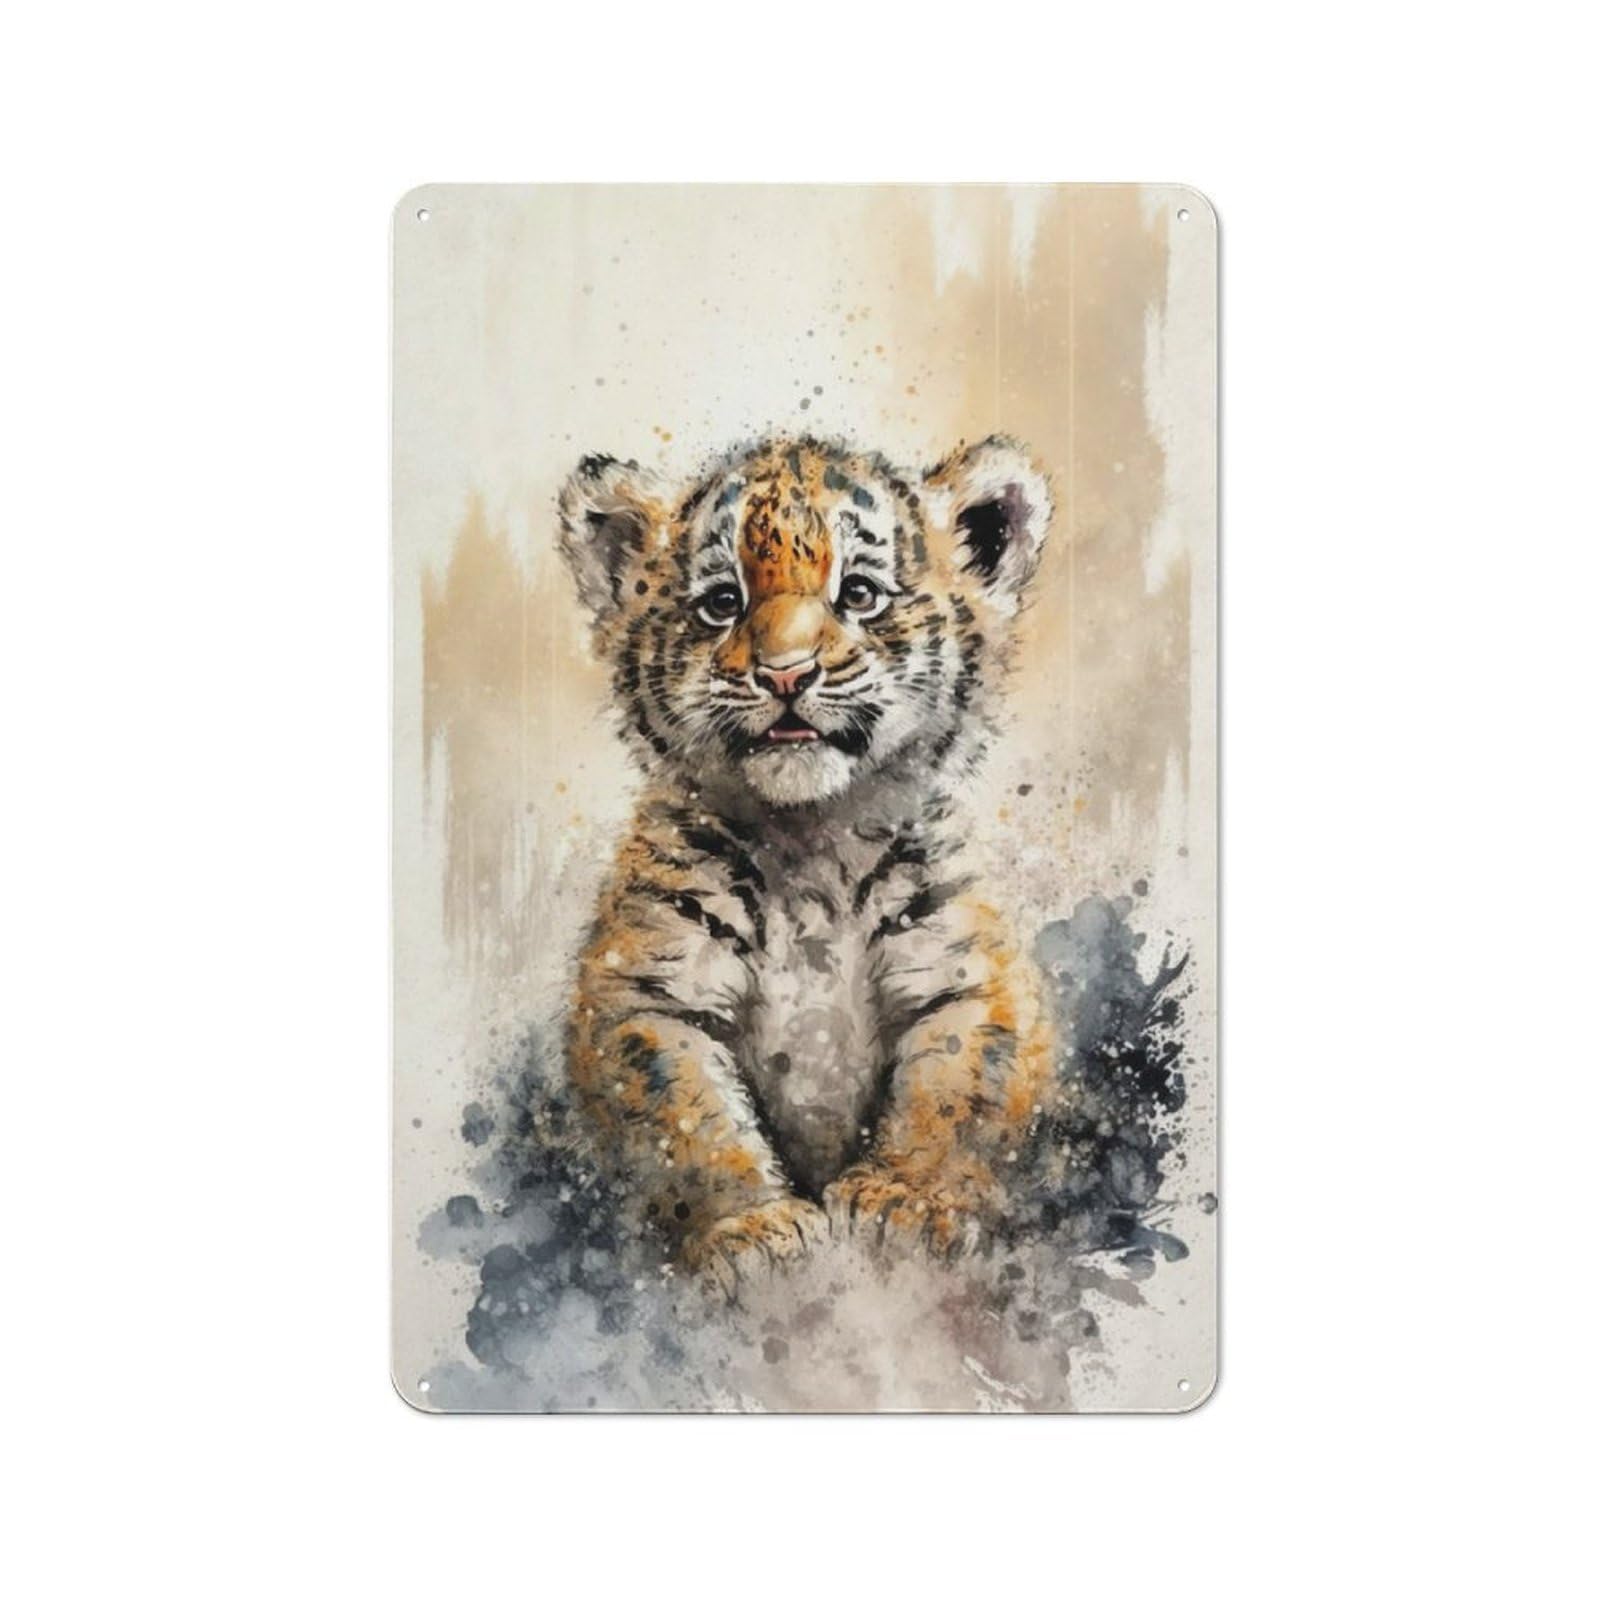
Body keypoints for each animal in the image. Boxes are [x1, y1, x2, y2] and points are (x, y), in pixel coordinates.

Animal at [557, 434, 1058, 1296]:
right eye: (722, 602)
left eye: (858, 593)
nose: (786, 672)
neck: (809, 837)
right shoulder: (645, 991)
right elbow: (688, 1115)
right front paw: (751, 1232)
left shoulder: (967, 975)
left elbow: (954, 1088)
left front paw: (906, 1201)